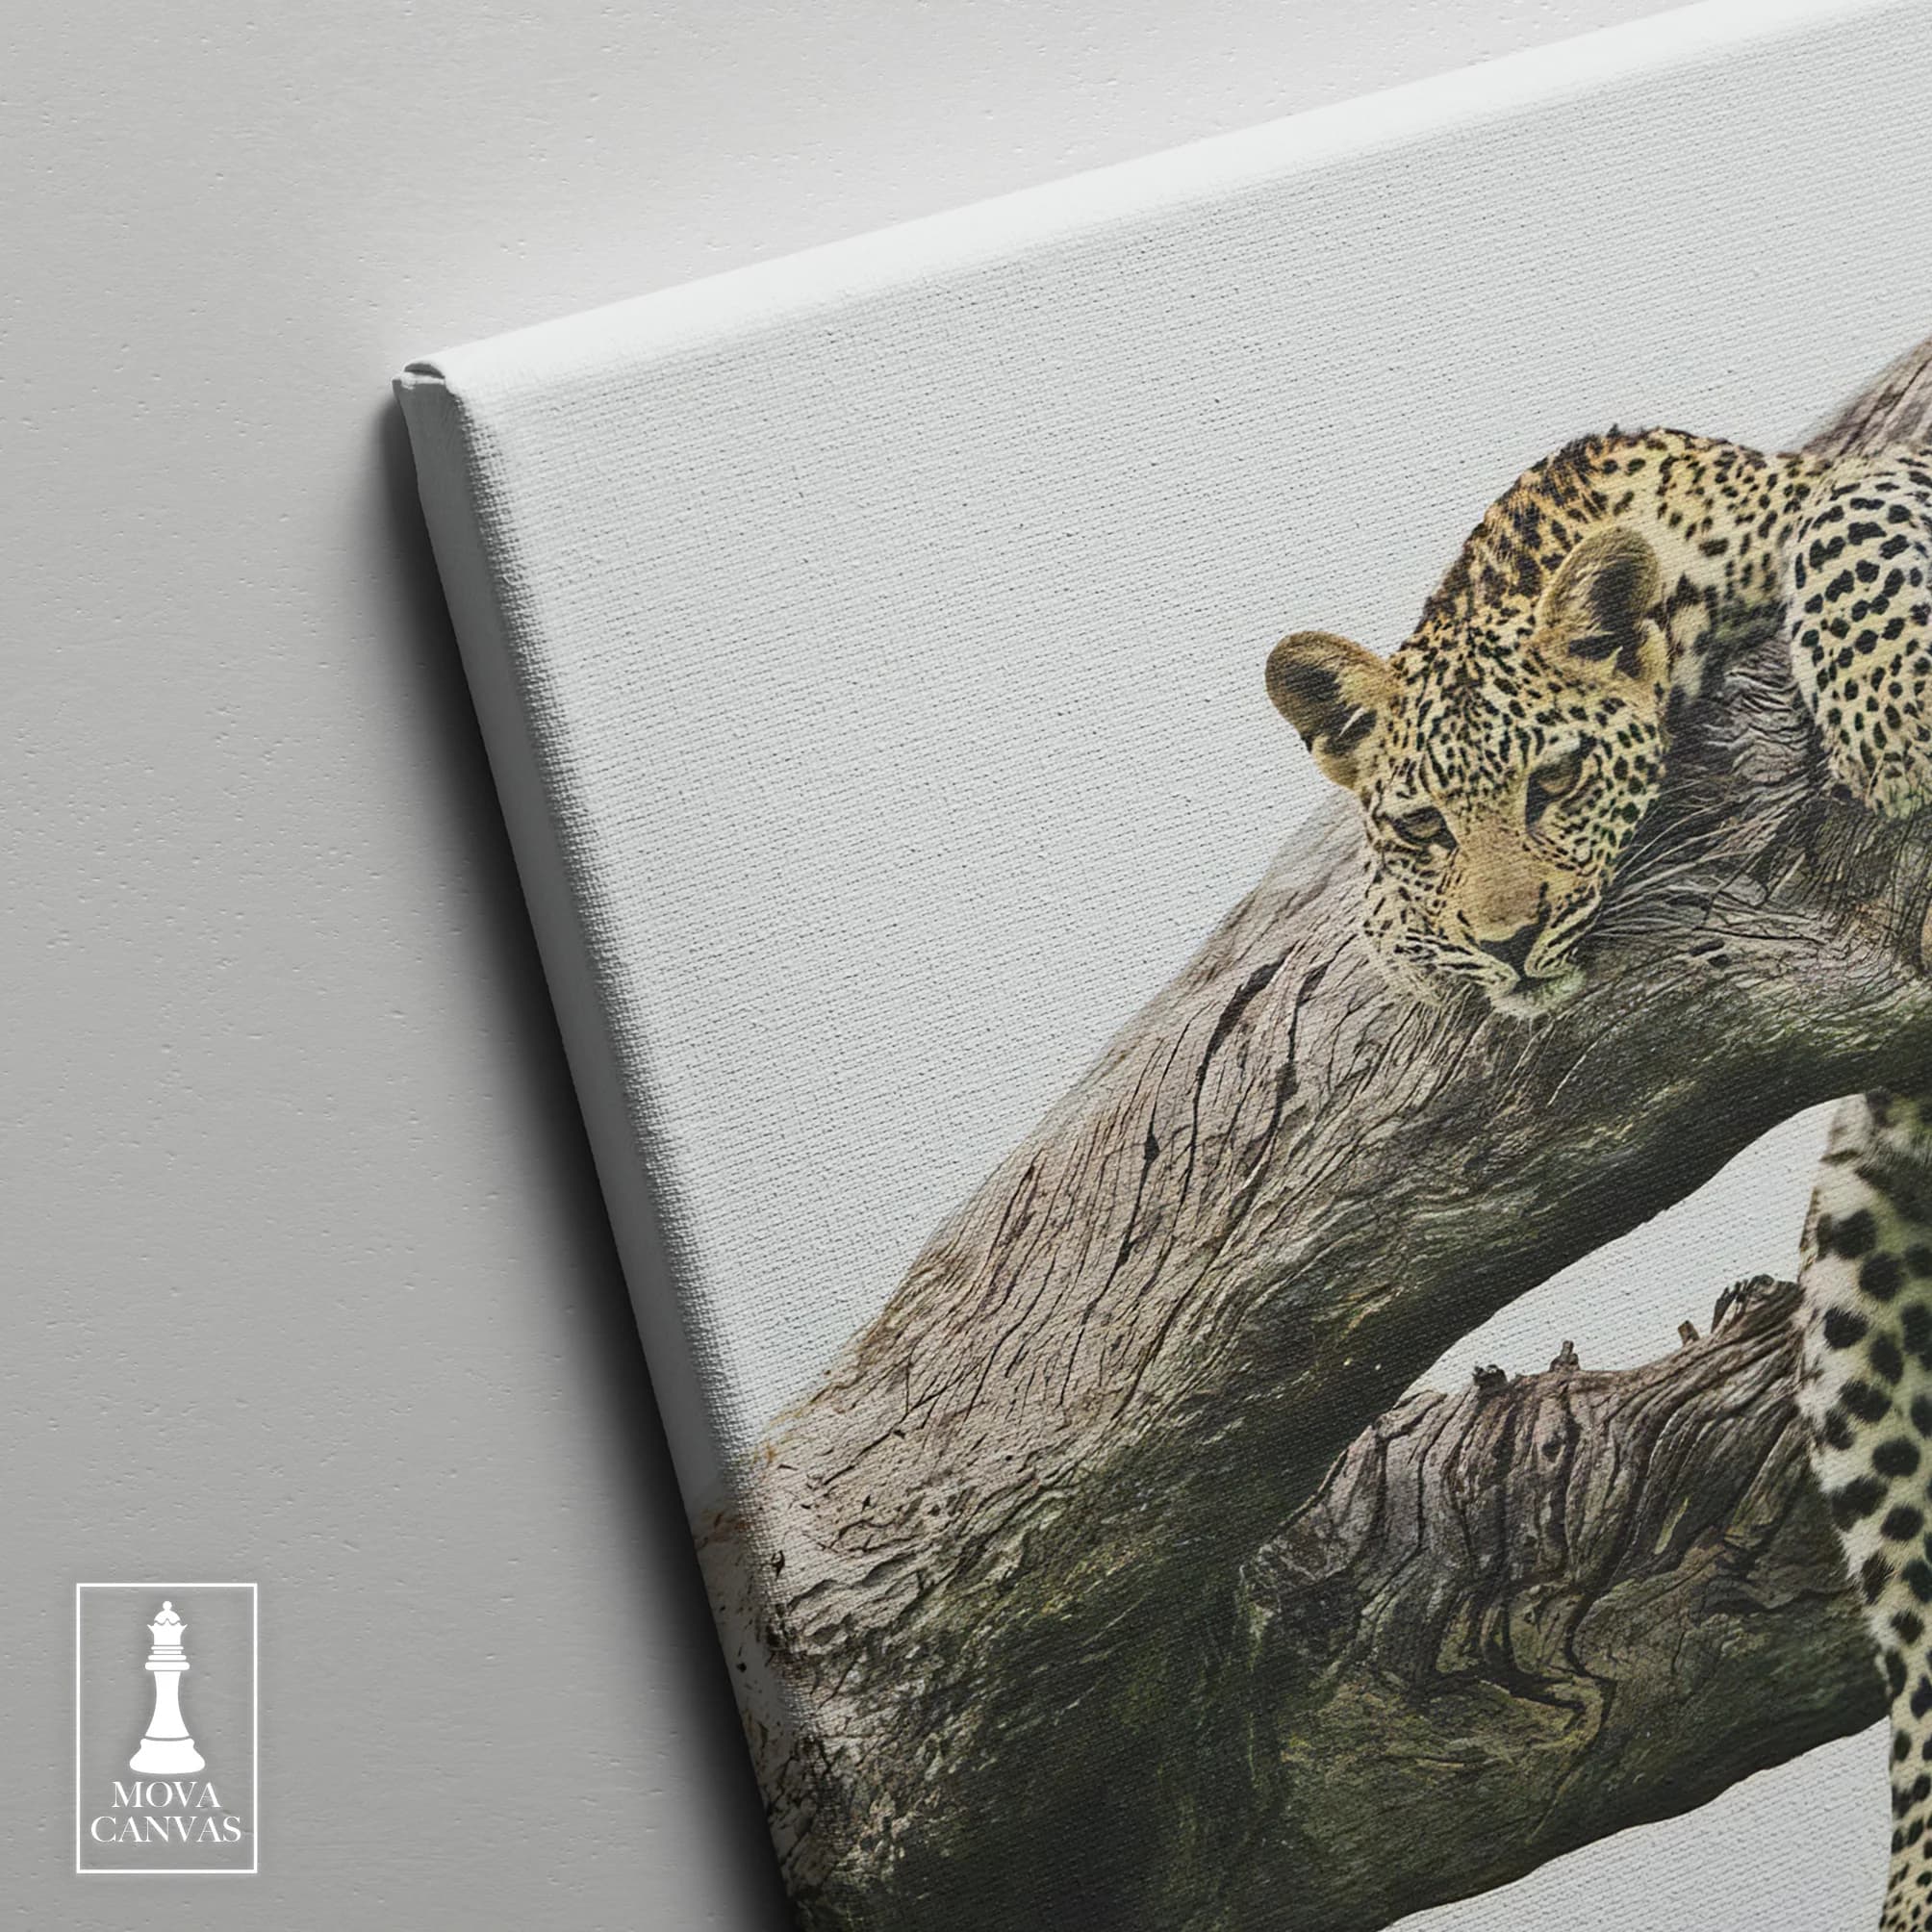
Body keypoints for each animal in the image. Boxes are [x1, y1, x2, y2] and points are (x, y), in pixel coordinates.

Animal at [1266, 427, 1932, 1928]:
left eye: (1555, 783)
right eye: (1423, 828)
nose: (1508, 941)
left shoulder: (1853, 481)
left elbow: (1857, 515)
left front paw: (1892, 721)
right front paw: (1407, 942)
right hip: (1861, 1258)